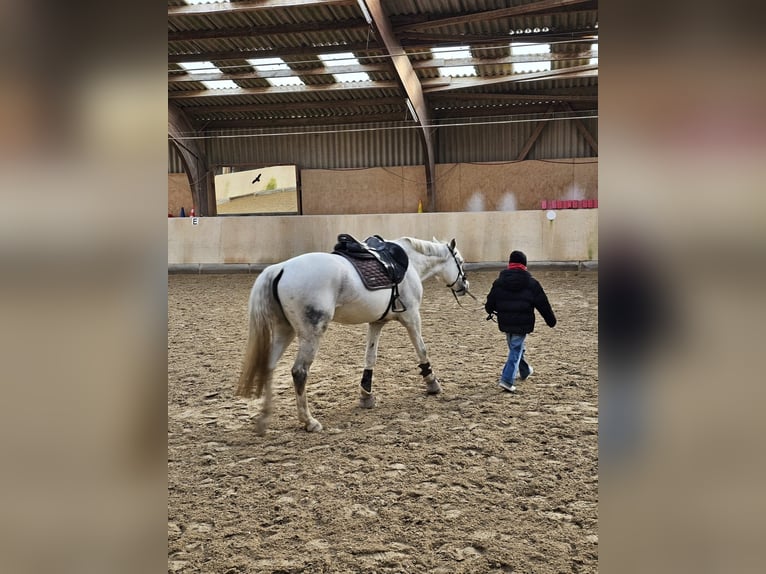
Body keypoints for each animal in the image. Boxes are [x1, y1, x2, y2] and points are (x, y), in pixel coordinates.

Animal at [235, 236, 471, 434]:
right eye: (460, 261)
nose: (464, 285)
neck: (410, 262)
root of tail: (281, 268)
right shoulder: (412, 316)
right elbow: (422, 349)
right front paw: (432, 383)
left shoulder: (377, 322)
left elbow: (370, 357)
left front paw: (366, 395)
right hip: (310, 334)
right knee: (299, 372)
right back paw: (309, 421)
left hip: (285, 330)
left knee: (269, 366)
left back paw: (264, 419)